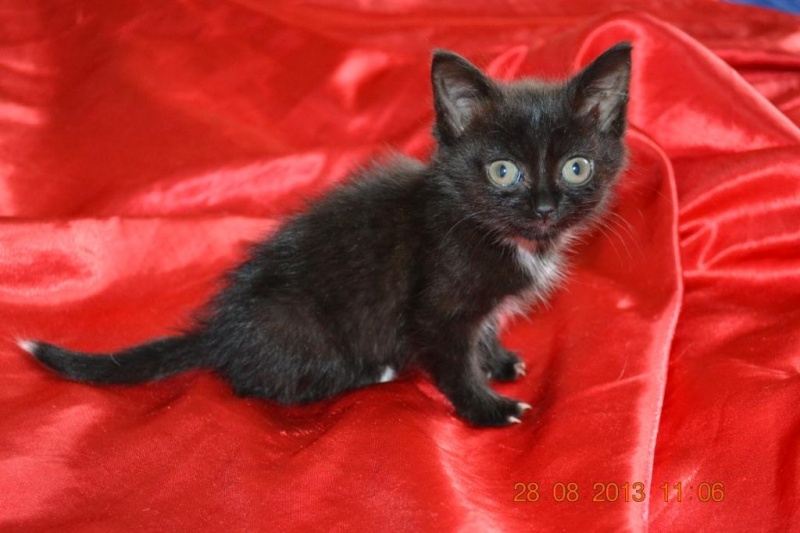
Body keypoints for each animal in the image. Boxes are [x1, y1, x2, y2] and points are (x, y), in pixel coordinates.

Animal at [22, 43, 632, 427]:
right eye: (503, 171)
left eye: (576, 167)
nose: (545, 207)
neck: (498, 234)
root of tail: (220, 332)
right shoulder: (435, 305)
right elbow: (452, 361)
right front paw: (486, 407)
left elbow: (480, 334)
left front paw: (498, 360)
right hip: (299, 329)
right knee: (272, 383)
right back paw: (371, 372)